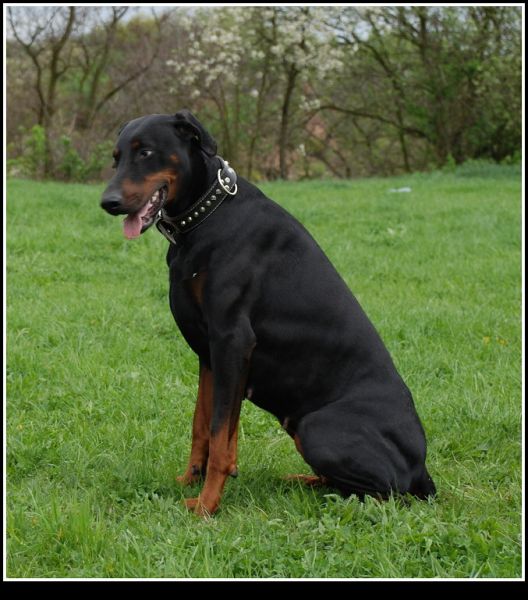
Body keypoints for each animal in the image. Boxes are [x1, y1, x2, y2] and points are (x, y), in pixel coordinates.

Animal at [101, 110, 436, 516]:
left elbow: (220, 436)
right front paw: (188, 480)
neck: (207, 216)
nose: (108, 202)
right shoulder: (209, 353)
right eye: (116, 158)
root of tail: (421, 469)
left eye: (146, 152)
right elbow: (203, 425)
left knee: (386, 495)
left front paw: (206, 506)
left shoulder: (232, 341)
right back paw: (299, 481)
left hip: (316, 428)